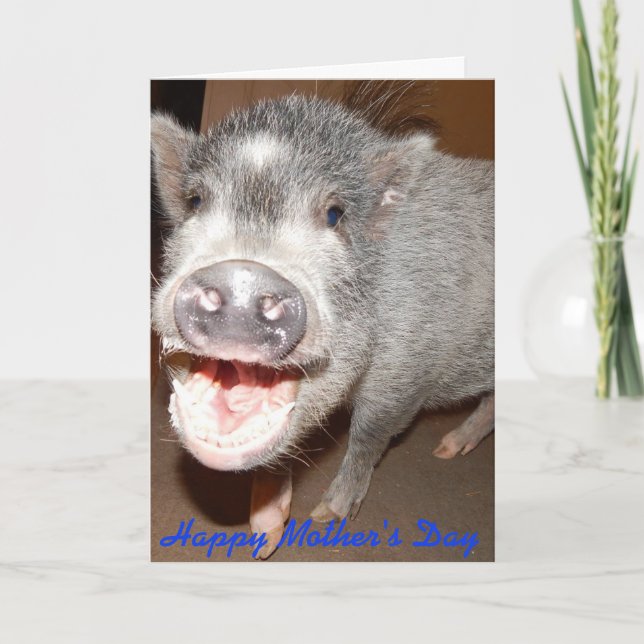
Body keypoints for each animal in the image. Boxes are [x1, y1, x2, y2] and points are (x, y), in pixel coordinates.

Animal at [151, 91, 494, 559]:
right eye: (195, 202)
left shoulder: (408, 374)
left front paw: (324, 518)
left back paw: (444, 452)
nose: (243, 274)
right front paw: (263, 540)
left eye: (334, 215)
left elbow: (369, 435)